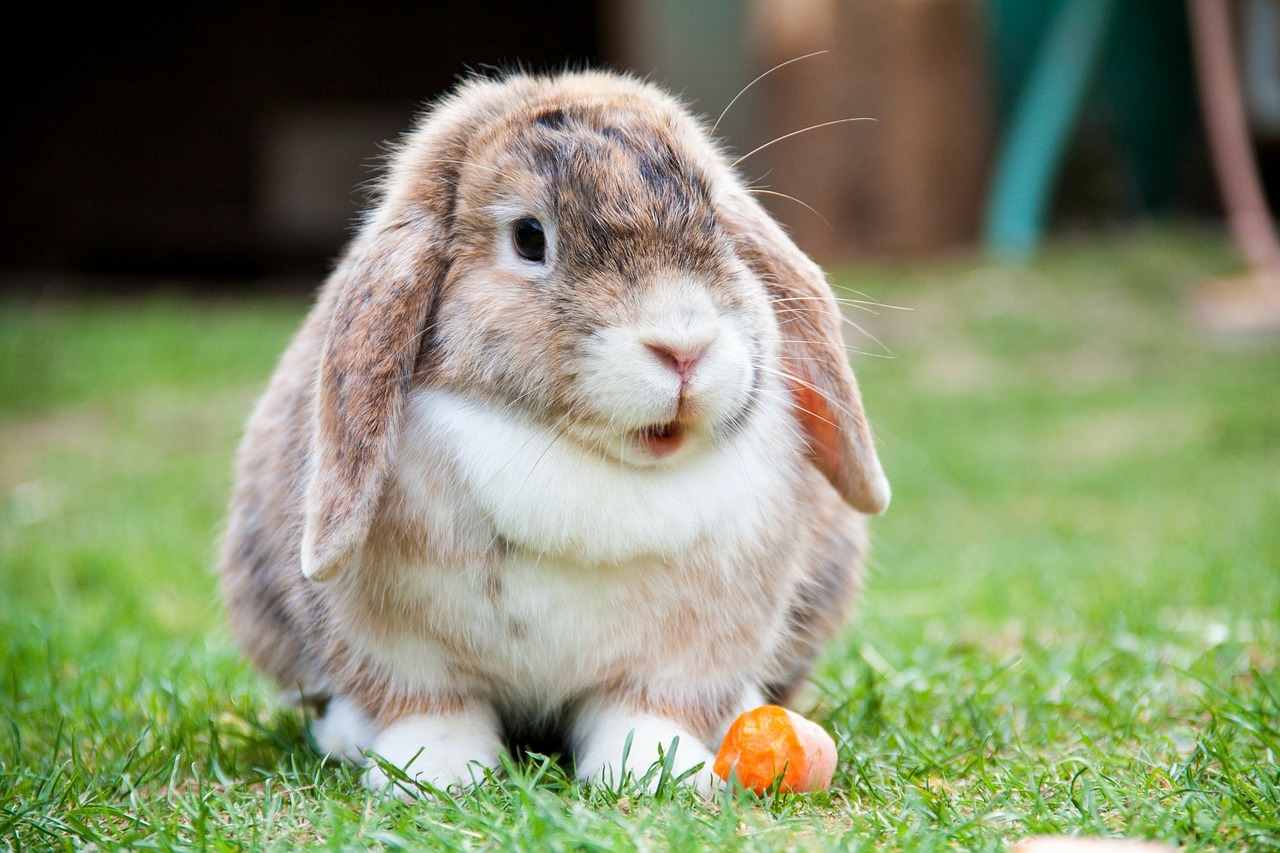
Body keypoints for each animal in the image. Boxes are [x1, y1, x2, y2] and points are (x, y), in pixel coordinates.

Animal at [220, 68, 885, 799]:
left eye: (717, 221)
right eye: (529, 237)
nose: (684, 347)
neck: (581, 458)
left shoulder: (683, 656)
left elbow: (645, 710)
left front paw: (656, 774)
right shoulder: (401, 652)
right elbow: (432, 709)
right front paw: (435, 775)